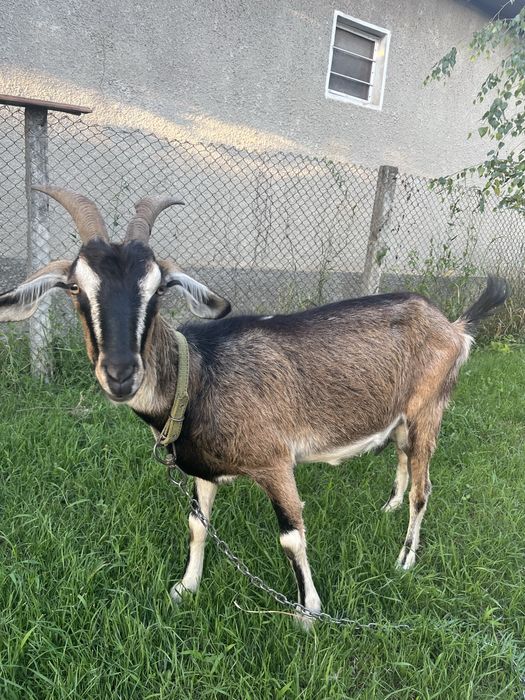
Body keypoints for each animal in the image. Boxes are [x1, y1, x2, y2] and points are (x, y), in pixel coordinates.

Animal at [0, 187, 508, 624]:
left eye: (160, 288)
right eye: (74, 288)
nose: (122, 373)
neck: (199, 377)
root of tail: (452, 326)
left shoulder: (275, 461)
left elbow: (291, 537)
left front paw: (308, 612)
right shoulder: (203, 470)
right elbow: (197, 524)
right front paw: (185, 588)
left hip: (429, 409)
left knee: (425, 489)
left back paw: (404, 558)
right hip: (402, 418)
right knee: (403, 459)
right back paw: (389, 504)